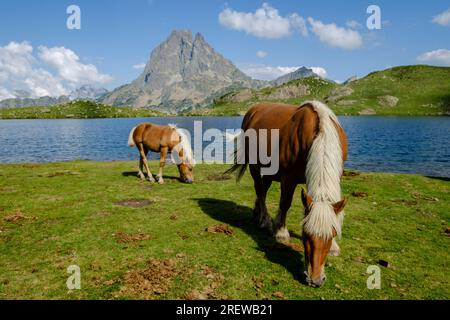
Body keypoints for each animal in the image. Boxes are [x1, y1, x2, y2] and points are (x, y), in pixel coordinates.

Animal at [229, 101, 348, 286]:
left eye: (332, 235)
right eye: (305, 234)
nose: (315, 280)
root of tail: (253, 110)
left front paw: (334, 246)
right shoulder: (288, 177)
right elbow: (285, 203)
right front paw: (281, 232)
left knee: (263, 189)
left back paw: (258, 214)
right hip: (255, 167)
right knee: (260, 191)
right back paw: (264, 220)